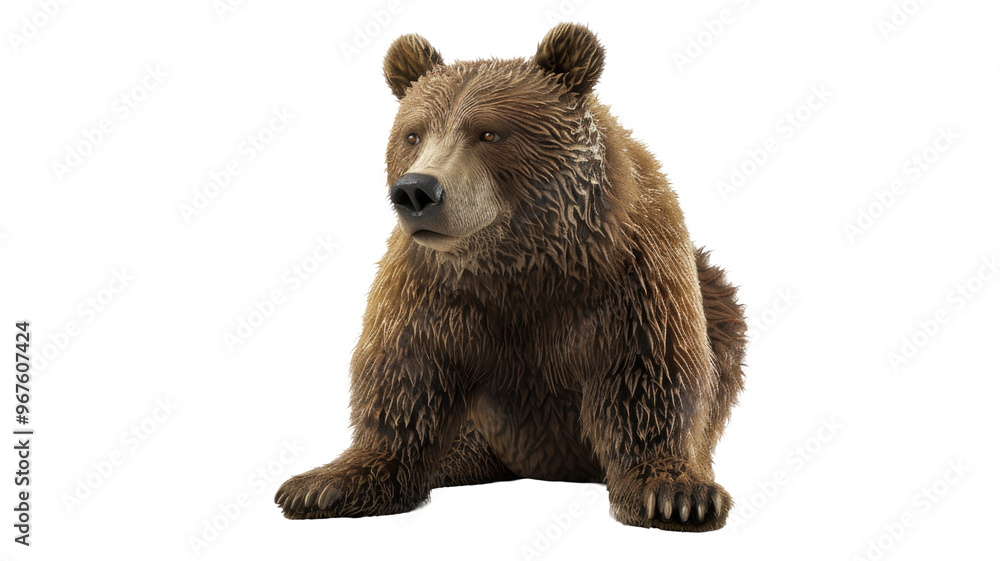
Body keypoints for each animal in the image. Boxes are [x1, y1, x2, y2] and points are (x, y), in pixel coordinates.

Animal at [275, 23, 746, 532]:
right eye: (413, 134)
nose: (416, 191)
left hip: (713, 295)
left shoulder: (630, 272)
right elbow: (404, 375)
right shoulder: (429, 287)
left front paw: (677, 495)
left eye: (489, 132)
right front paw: (321, 486)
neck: (519, 261)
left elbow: (648, 372)